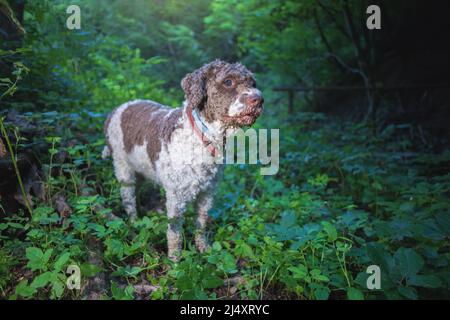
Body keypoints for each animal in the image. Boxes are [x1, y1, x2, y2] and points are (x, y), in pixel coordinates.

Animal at [102, 59, 264, 260]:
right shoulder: (176, 197)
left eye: (253, 83)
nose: (259, 99)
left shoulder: (207, 193)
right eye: (228, 81)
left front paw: (204, 248)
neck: (204, 138)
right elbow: (175, 231)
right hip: (123, 169)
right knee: (128, 199)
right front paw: (175, 260)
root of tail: (116, 110)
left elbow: (201, 224)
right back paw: (134, 222)